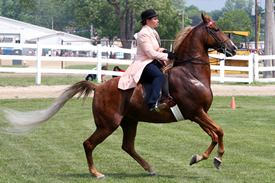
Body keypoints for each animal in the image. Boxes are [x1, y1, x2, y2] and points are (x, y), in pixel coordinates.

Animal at [1, 13, 237, 179]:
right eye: (216, 29)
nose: (234, 49)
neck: (190, 73)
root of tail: (98, 88)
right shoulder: (196, 113)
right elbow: (218, 132)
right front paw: (209, 158)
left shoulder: (198, 115)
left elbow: (216, 133)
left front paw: (207, 158)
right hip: (108, 124)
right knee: (89, 144)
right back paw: (96, 173)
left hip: (129, 122)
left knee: (127, 146)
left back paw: (149, 168)